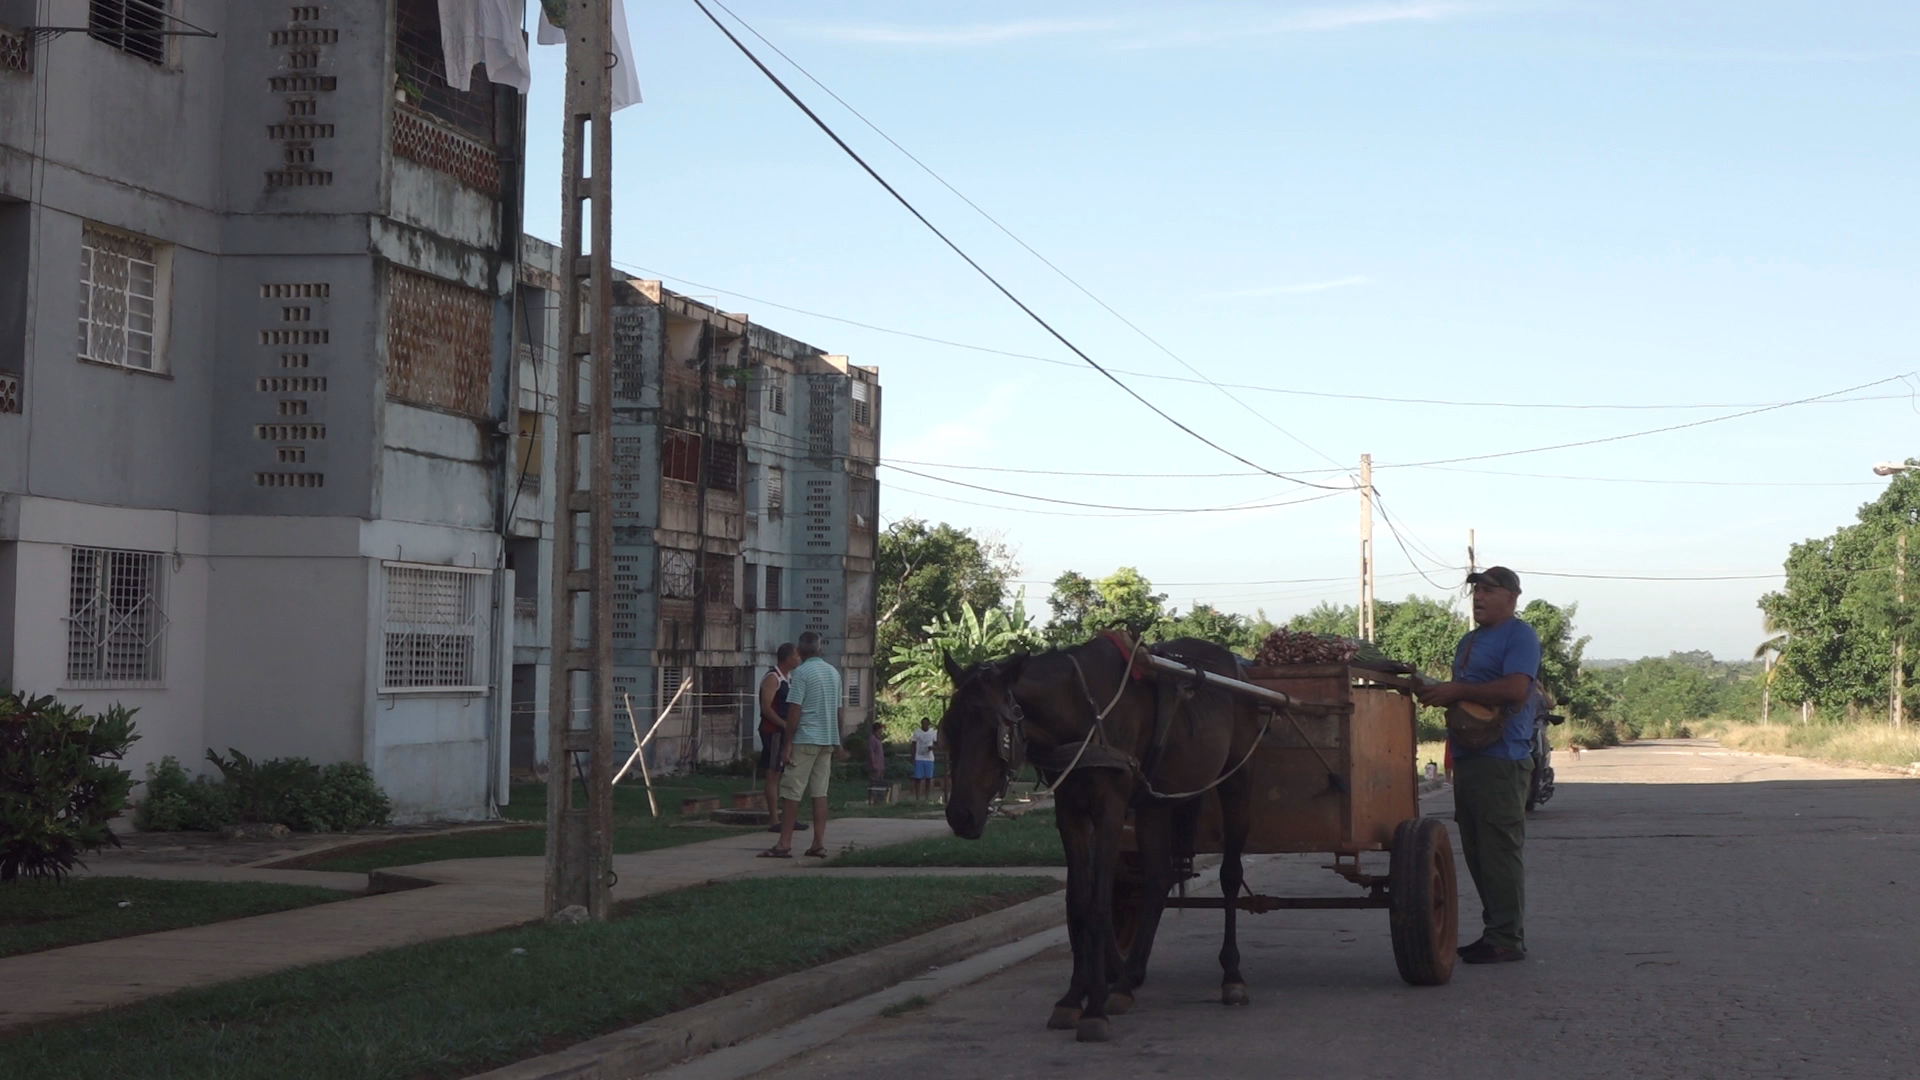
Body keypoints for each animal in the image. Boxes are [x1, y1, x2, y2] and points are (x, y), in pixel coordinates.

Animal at [940, 634, 1265, 1043]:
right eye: (949, 727)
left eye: (993, 732)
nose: (960, 815)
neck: (1082, 712)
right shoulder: (1070, 812)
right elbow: (1078, 902)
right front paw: (1072, 998)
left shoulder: (1110, 808)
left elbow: (1097, 904)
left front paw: (1093, 1009)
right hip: (1157, 803)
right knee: (1157, 879)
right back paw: (1127, 982)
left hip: (1237, 780)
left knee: (1230, 876)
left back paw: (1232, 976)